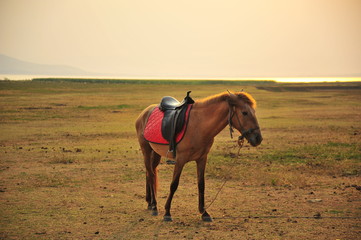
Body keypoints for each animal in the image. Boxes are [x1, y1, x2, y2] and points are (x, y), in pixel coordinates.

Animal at [135, 91, 262, 222]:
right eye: (244, 113)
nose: (258, 138)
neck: (199, 126)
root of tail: (144, 112)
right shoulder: (180, 160)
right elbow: (174, 185)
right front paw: (167, 212)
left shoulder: (202, 159)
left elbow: (201, 184)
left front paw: (204, 212)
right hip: (146, 149)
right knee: (150, 174)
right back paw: (154, 206)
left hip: (155, 152)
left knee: (150, 172)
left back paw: (150, 203)